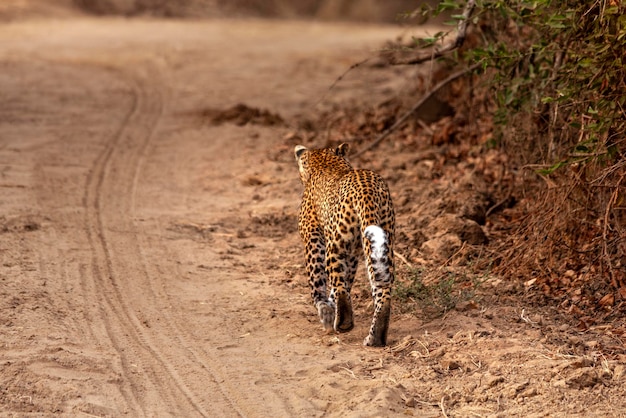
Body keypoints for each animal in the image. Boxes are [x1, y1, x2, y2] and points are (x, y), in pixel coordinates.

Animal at [294, 144, 392, 346]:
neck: (324, 161)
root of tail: (367, 191)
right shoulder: (354, 253)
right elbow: (347, 281)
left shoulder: (312, 237)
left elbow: (319, 282)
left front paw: (325, 310)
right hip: (383, 240)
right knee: (382, 289)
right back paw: (375, 337)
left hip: (336, 243)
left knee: (338, 282)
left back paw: (343, 323)